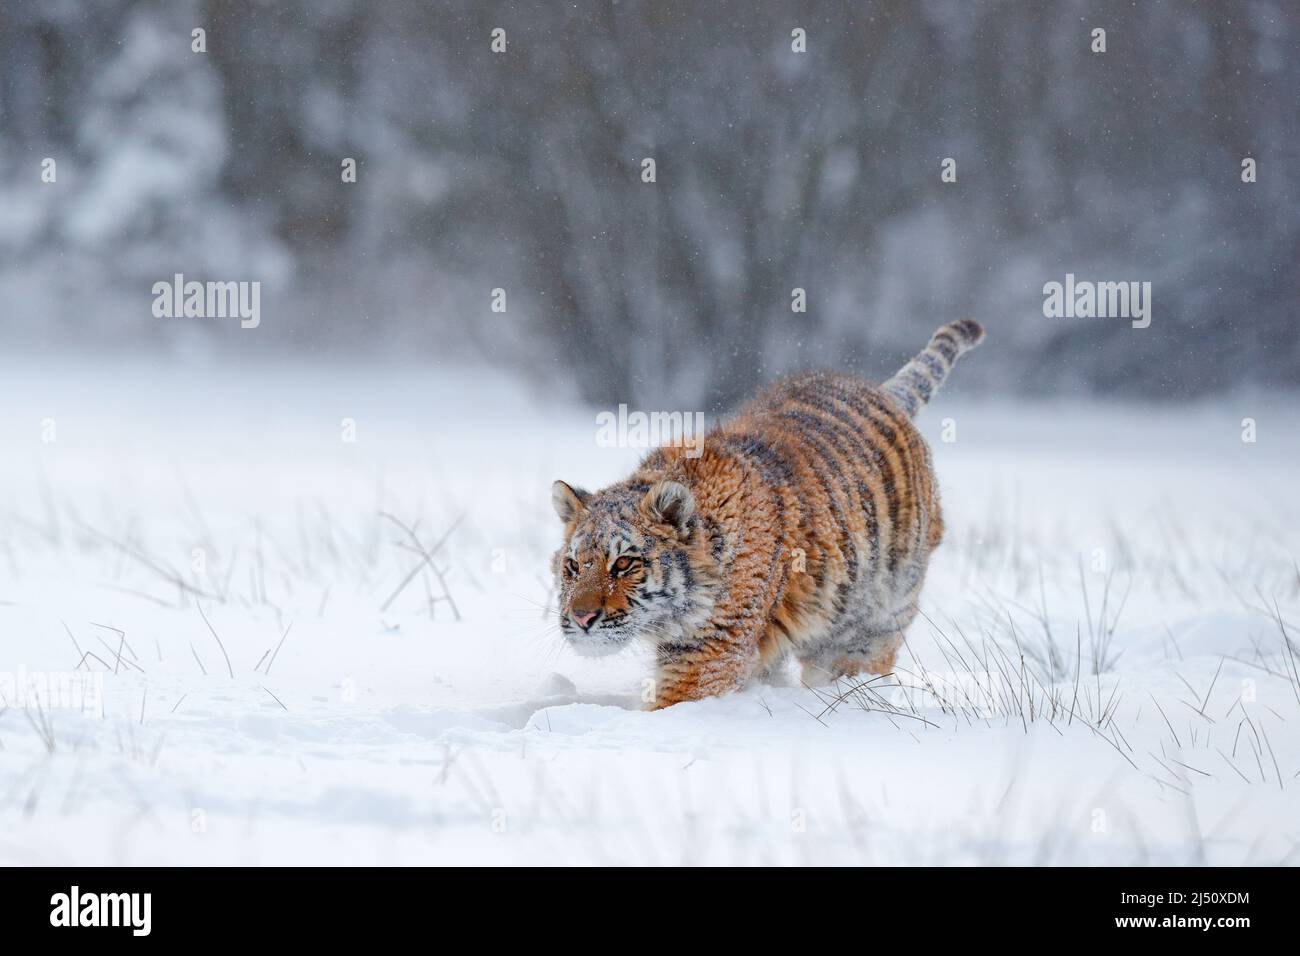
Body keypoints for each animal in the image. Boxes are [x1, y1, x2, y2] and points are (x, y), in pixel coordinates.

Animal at [548, 321, 982, 712]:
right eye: (572, 567)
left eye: (624, 564)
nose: (581, 618)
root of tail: (883, 392)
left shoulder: (707, 656)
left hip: (869, 628)